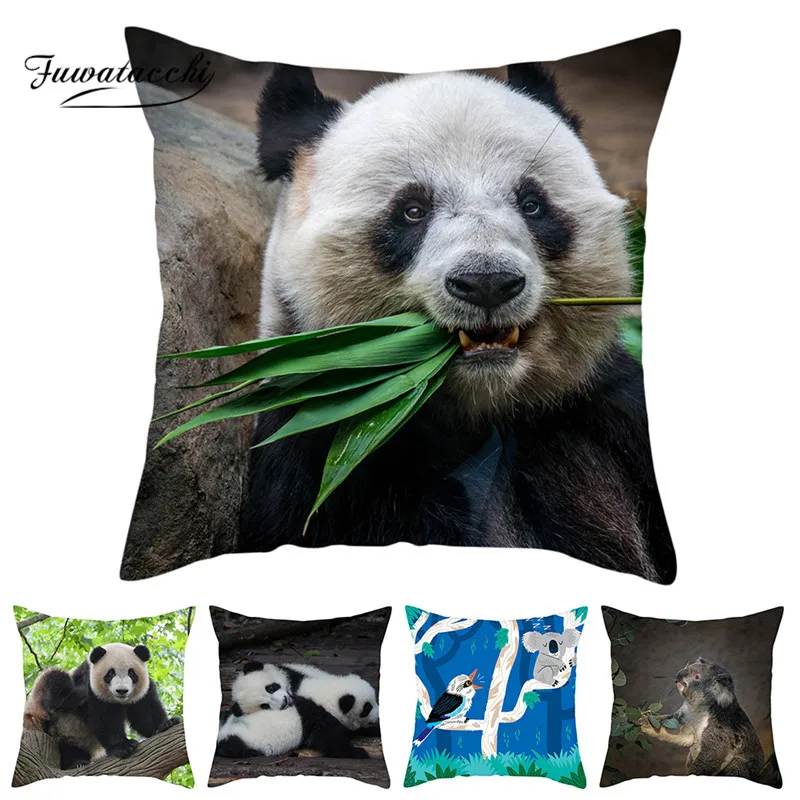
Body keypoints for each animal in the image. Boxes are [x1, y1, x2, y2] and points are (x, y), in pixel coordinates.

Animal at [215, 661, 369, 759]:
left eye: (271, 688)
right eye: (265, 706)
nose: (284, 702)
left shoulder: (294, 675)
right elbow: (328, 739)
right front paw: (358, 752)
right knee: (232, 746)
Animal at [240, 63, 675, 584]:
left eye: (532, 203)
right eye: (412, 210)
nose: (488, 283)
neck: (481, 408)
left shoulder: (603, 412)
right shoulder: (327, 450)